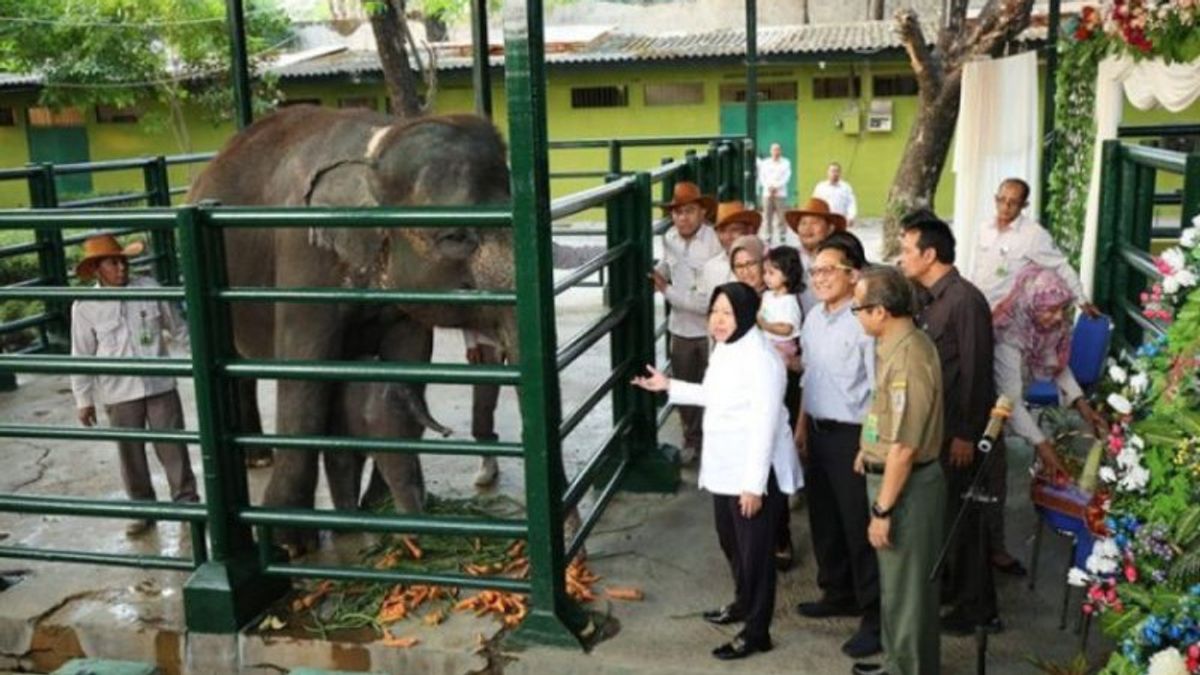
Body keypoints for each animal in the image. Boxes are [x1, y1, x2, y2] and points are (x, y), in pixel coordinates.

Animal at [189, 106, 518, 552]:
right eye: (454, 235)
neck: (377, 147)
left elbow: (409, 358)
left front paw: (378, 505)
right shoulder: (304, 256)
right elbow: (304, 376)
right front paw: (290, 544)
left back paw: (257, 456)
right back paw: (257, 459)